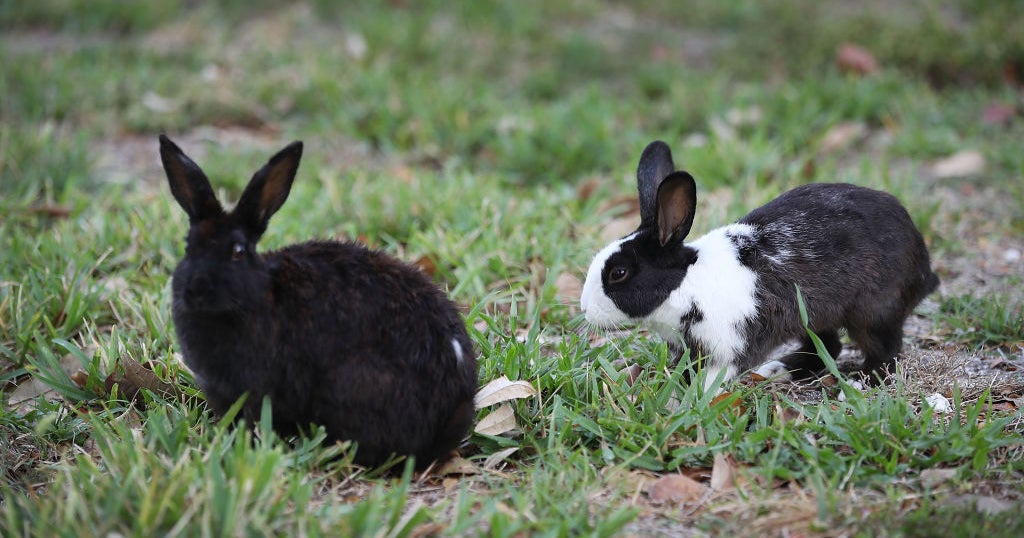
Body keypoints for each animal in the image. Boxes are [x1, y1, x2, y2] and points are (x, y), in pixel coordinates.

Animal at [580, 140, 939, 389]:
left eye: (618, 273)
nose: (584, 309)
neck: (685, 284)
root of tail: (924, 267)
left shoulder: (730, 345)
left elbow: (714, 377)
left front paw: (693, 399)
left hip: (873, 313)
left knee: (886, 351)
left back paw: (861, 380)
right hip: (812, 315)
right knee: (828, 345)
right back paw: (777, 370)